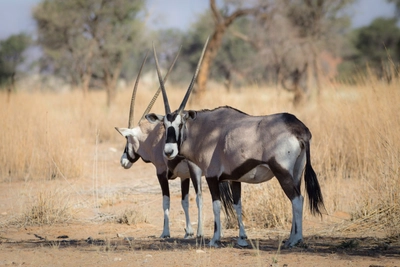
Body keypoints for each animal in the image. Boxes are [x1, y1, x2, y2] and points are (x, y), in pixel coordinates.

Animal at [114, 50, 205, 241]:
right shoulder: (183, 176)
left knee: (200, 196)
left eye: (127, 140)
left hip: (196, 170)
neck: (153, 137)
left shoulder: (161, 172)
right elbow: (184, 201)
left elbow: (166, 201)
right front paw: (188, 231)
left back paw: (201, 232)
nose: (123, 161)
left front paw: (165, 232)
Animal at [147, 40, 324, 249]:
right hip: (296, 172)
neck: (205, 130)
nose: (169, 151)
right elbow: (237, 205)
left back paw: (296, 240)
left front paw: (215, 239)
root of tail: (299, 129)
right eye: (164, 125)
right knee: (296, 198)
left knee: (297, 199)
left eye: (180, 124)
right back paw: (291, 237)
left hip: (282, 172)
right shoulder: (234, 178)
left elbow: (216, 205)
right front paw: (242, 239)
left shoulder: (212, 177)